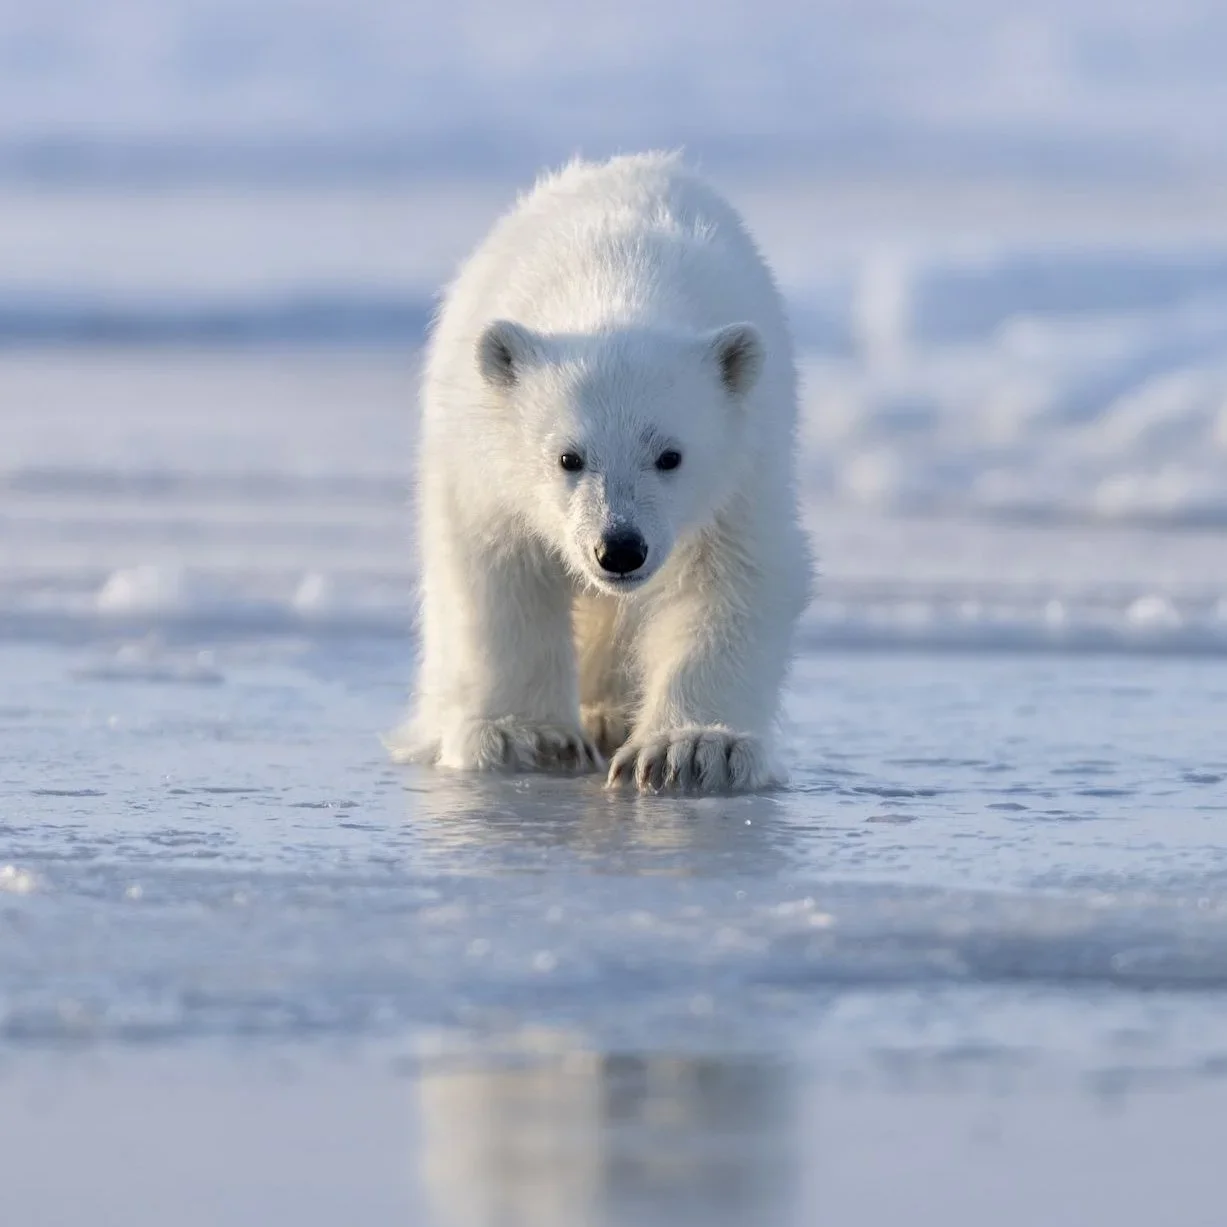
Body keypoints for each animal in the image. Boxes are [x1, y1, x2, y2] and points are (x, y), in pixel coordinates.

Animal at [389, 151, 812, 793]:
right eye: (569, 456)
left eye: (670, 455)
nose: (619, 549)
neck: (619, 273)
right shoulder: (485, 463)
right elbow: (500, 574)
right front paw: (526, 737)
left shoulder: (746, 469)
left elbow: (733, 578)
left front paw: (693, 748)